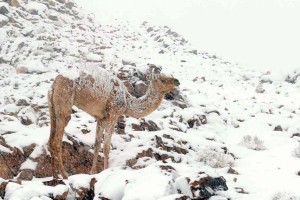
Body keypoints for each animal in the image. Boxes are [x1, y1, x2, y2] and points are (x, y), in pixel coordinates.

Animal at [47, 66, 179, 179]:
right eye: (162, 79)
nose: (177, 81)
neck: (127, 102)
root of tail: (55, 82)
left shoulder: (101, 118)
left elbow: (97, 145)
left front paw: (92, 172)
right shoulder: (113, 114)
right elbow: (106, 147)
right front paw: (106, 171)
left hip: (52, 107)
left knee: (51, 140)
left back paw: (54, 175)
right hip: (64, 104)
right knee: (57, 141)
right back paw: (64, 175)